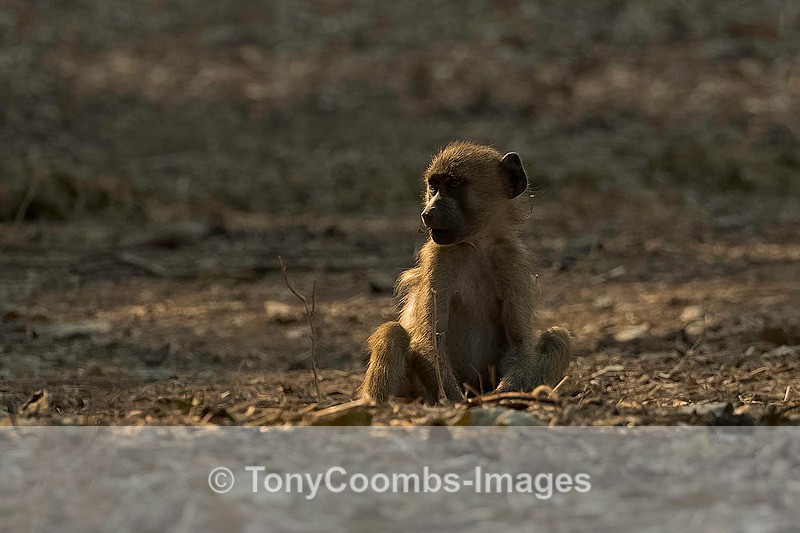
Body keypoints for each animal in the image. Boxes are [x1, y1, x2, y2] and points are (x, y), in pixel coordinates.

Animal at [357, 140, 572, 403]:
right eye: (433, 185)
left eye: (453, 184)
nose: (428, 213)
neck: (476, 245)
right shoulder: (439, 258)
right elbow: (429, 340)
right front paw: (456, 402)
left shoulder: (512, 259)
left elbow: (519, 342)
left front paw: (505, 395)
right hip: (415, 391)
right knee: (393, 332)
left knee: (557, 338)